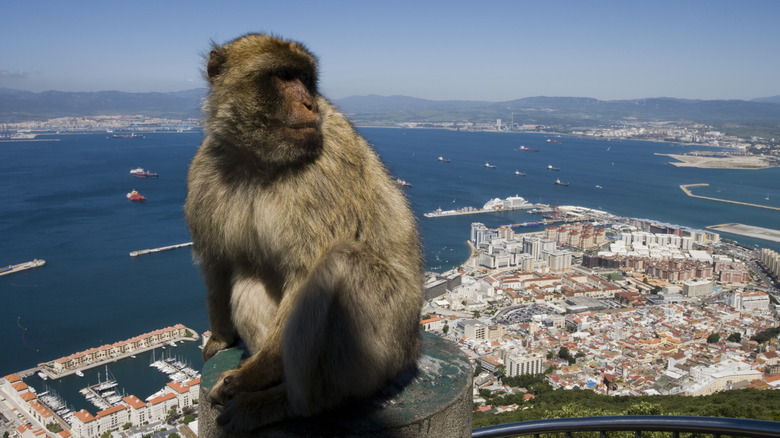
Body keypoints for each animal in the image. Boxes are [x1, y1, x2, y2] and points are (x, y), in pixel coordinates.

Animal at [185, 34, 424, 432]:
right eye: (284, 76)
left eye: (306, 79)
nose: (310, 103)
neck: (259, 158)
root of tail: (414, 347)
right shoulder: (204, 171)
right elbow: (217, 263)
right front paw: (220, 338)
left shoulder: (327, 169)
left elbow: (306, 272)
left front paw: (249, 377)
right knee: (249, 276)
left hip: (388, 345)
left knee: (341, 264)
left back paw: (285, 403)